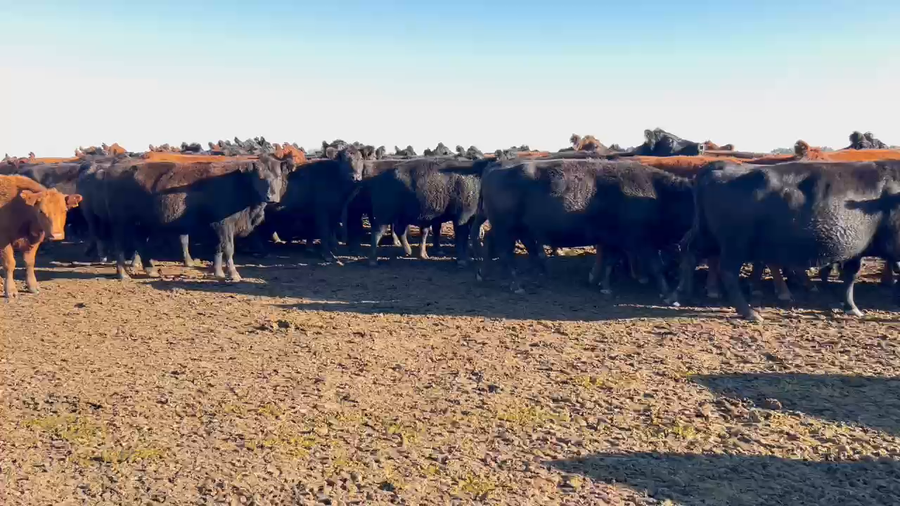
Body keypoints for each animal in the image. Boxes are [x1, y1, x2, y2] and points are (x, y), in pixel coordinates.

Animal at [77, 154, 292, 281]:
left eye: (278, 176)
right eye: (260, 177)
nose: (271, 197)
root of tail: (111, 169)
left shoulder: (216, 226)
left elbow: (218, 249)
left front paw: (218, 272)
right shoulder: (224, 225)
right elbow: (228, 249)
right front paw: (233, 274)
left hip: (142, 224)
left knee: (140, 244)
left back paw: (150, 269)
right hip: (121, 223)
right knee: (120, 245)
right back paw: (122, 273)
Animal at [475, 159, 694, 294]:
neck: (657, 193)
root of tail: (495, 165)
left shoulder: (614, 240)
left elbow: (609, 261)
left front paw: (604, 286)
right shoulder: (641, 241)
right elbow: (655, 265)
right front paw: (666, 292)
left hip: (511, 228)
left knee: (492, 241)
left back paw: (485, 275)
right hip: (506, 228)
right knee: (505, 252)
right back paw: (516, 284)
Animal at [675, 160, 900, 321]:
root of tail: (717, 167)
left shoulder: (856, 249)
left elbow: (850, 276)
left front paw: (851, 307)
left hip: (706, 234)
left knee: (688, 251)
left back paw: (679, 294)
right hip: (735, 243)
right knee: (727, 271)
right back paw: (749, 312)